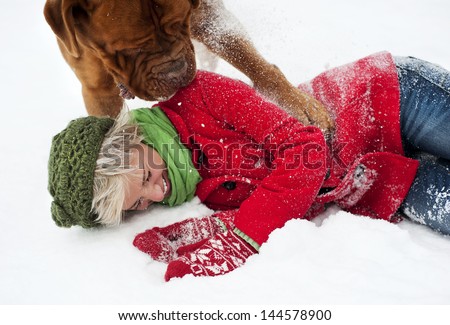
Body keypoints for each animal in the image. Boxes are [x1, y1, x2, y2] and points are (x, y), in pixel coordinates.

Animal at [44, 0, 332, 132]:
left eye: (181, 22)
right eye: (130, 49)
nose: (176, 72)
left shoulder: (207, 17)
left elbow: (255, 63)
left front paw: (299, 104)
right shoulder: (96, 88)